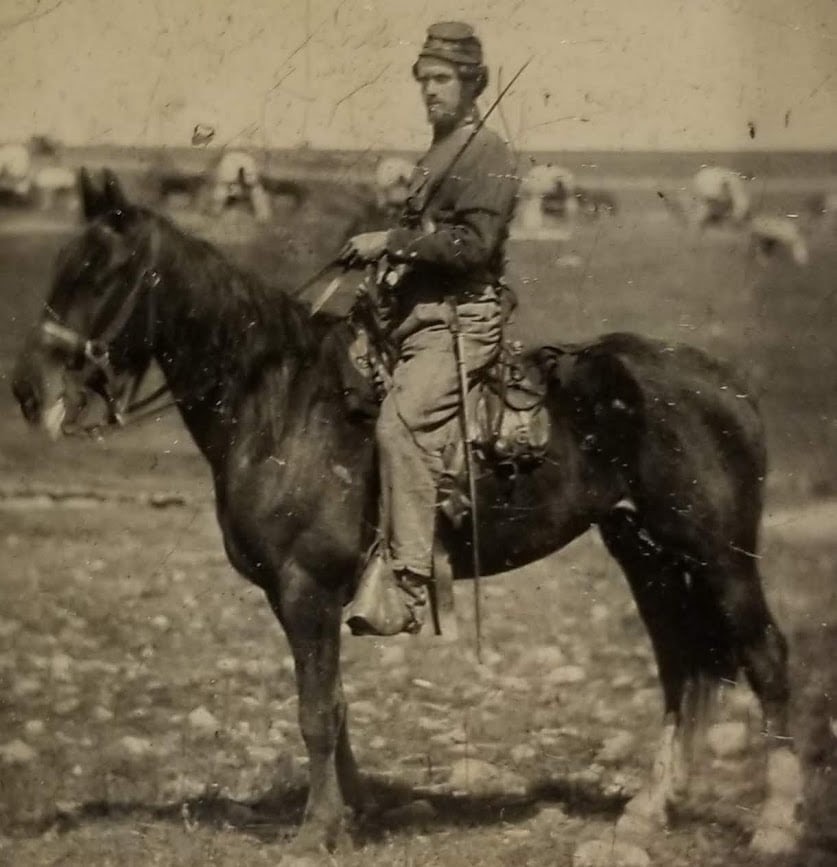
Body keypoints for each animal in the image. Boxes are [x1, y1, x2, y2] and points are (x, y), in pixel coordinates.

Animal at [11, 169, 802, 862]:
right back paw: (649, 807)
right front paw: (353, 815)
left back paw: (774, 825)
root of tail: (727, 384)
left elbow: (315, 712)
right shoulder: (293, 598)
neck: (283, 405)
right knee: (679, 666)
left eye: (98, 272)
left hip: (719, 557)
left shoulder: (305, 589)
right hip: (648, 556)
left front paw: (314, 832)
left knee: (765, 658)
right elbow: (333, 706)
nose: (26, 389)